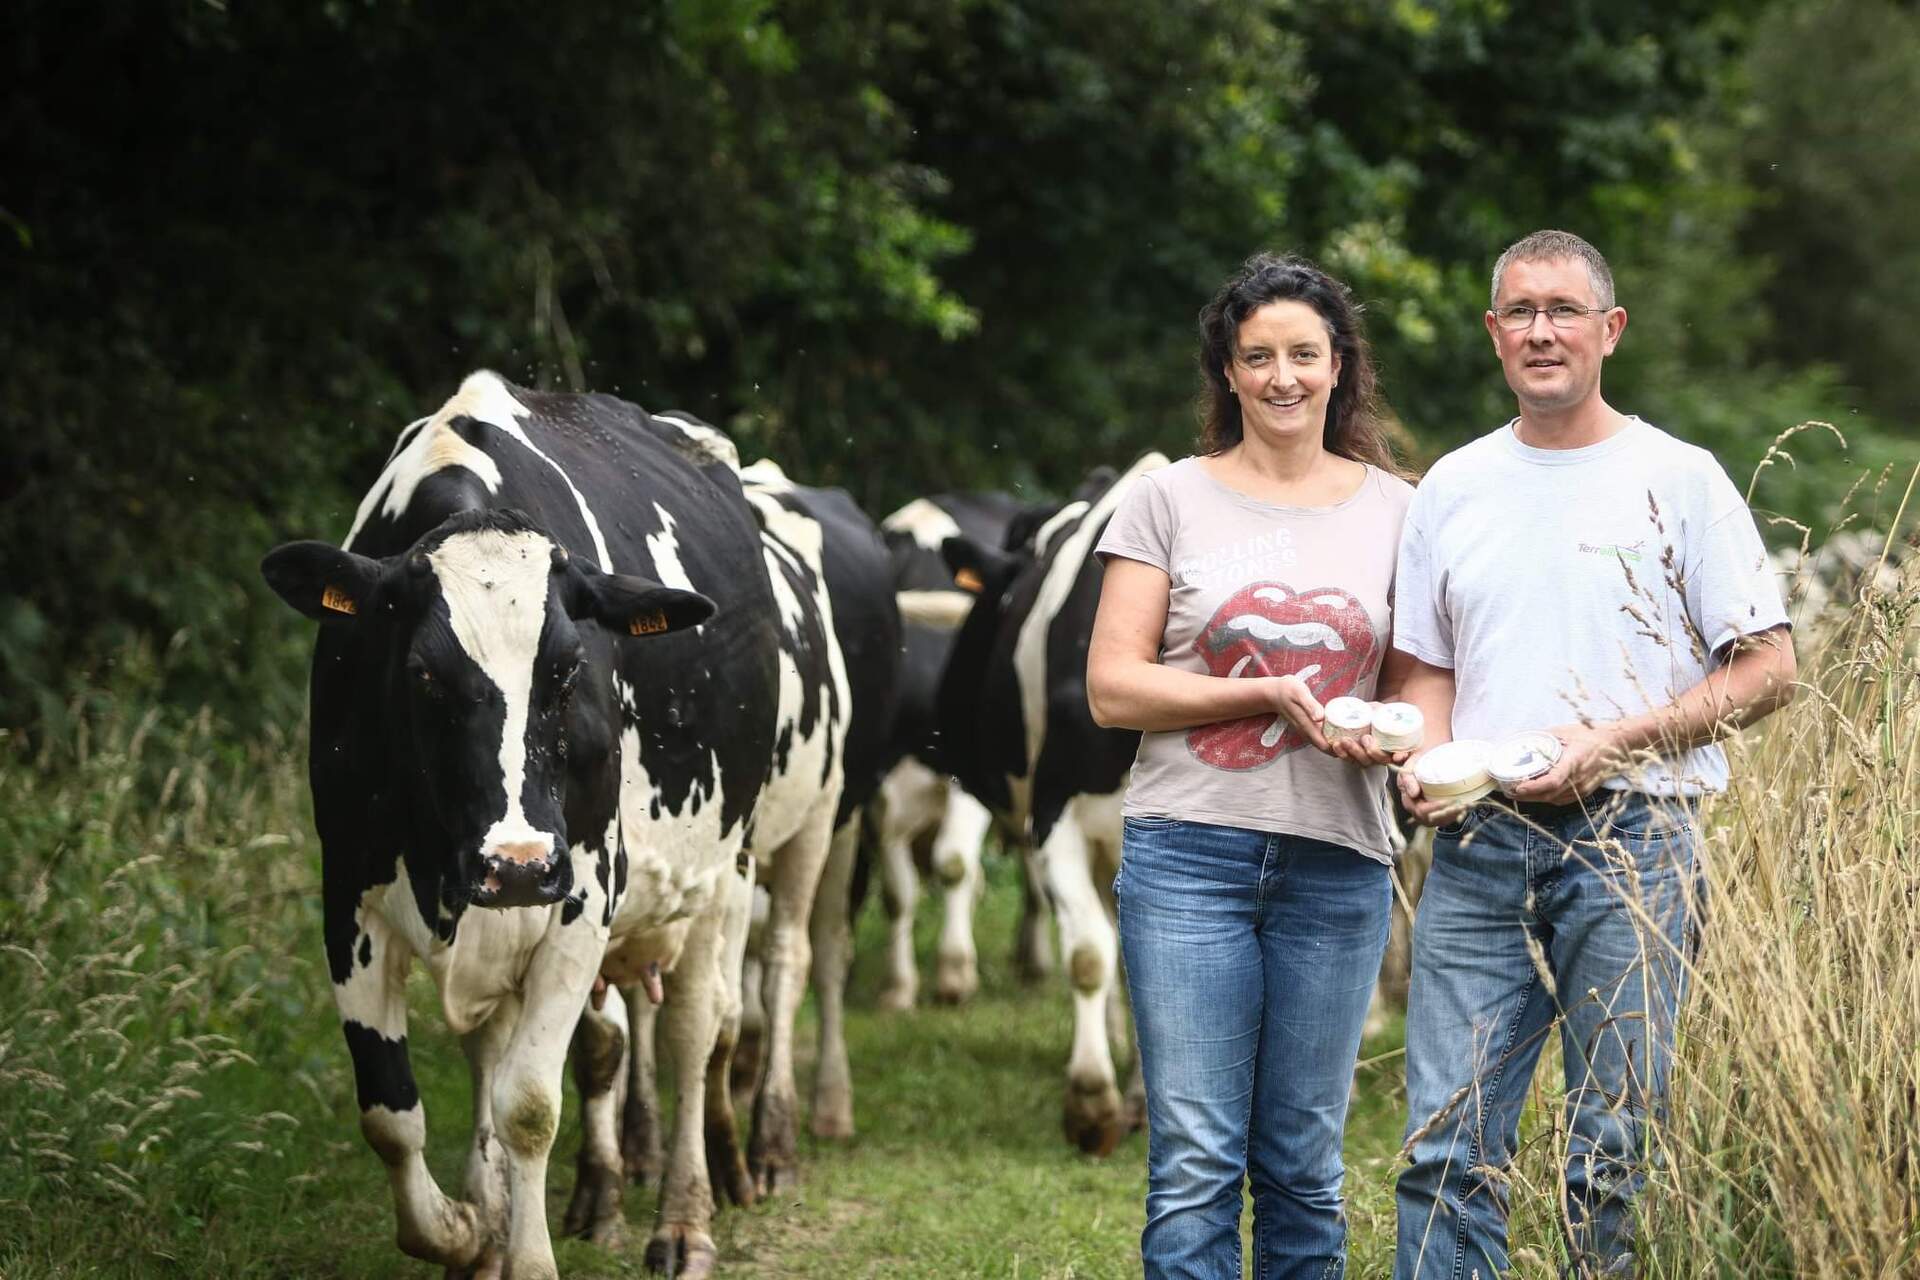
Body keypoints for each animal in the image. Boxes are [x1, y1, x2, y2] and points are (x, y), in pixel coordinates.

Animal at [261, 372, 833, 1280]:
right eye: (422, 673)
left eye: (567, 669)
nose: (519, 863)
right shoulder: (347, 894)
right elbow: (391, 1115)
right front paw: (467, 1231)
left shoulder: (582, 901)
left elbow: (529, 1104)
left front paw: (519, 1253)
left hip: (726, 871)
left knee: (698, 1030)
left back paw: (686, 1219)